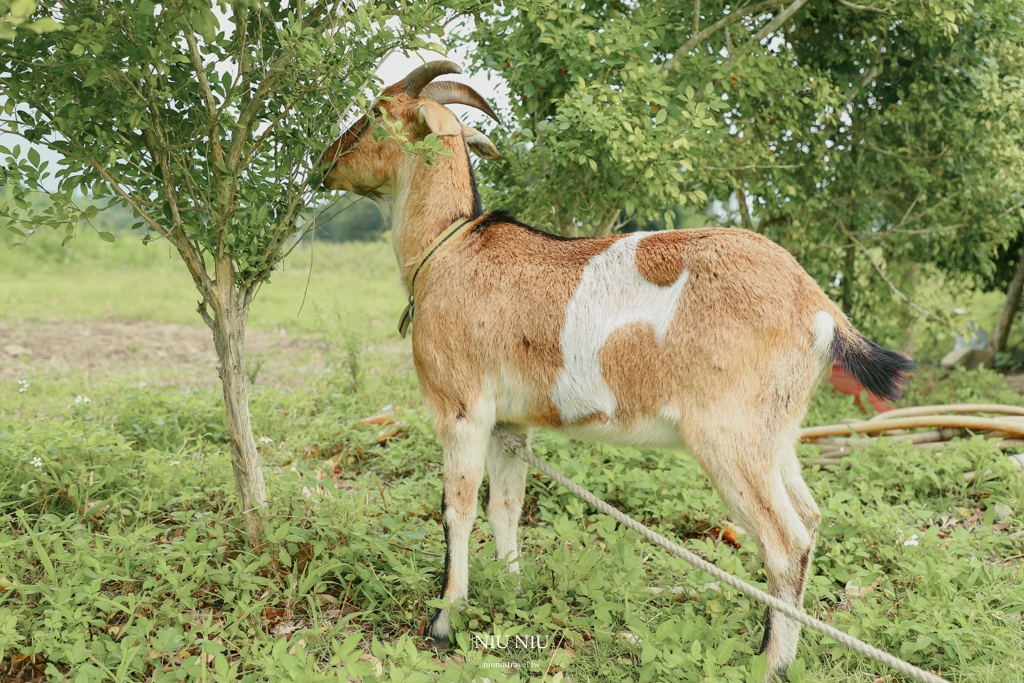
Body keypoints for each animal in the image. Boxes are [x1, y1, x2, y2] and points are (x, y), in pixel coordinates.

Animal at [317, 62, 913, 679]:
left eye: (377, 111)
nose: (324, 161)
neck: (450, 249)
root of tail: (818, 308)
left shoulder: (461, 407)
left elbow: (455, 509)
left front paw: (443, 622)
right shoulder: (510, 423)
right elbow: (505, 507)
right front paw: (510, 593)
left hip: (727, 435)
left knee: (785, 542)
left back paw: (768, 663)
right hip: (775, 433)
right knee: (811, 520)